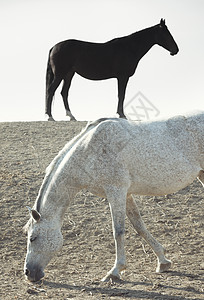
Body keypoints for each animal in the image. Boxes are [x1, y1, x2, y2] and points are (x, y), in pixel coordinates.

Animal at [24, 111, 203, 282]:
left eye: (33, 238)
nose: (28, 273)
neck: (89, 150)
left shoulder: (116, 192)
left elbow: (118, 231)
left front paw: (115, 271)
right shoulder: (127, 194)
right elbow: (139, 226)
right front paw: (163, 261)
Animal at [45, 19, 178, 120]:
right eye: (166, 34)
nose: (176, 50)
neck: (129, 48)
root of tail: (55, 47)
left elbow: (121, 95)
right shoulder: (122, 77)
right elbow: (121, 95)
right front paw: (122, 114)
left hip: (69, 74)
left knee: (64, 93)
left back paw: (71, 116)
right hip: (60, 74)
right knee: (51, 90)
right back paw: (50, 116)